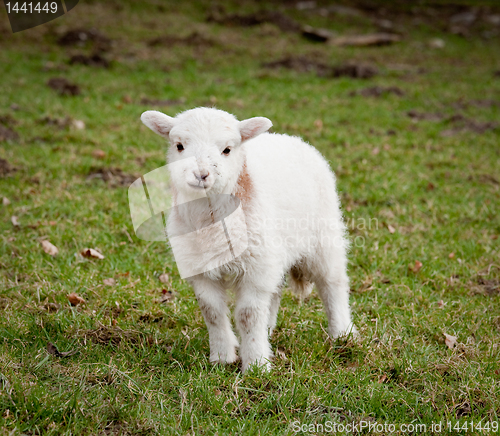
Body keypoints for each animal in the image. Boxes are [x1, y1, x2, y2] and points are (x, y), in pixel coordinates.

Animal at [141, 107, 356, 370]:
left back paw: (342, 333)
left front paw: (256, 365)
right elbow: (212, 311)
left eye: (227, 149)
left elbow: (247, 315)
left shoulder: (255, 269)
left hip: (323, 237)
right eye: (179, 146)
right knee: (275, 292)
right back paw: (269, 330)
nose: (201, 174)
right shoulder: (201, 269)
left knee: (332, 283)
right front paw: (222, 357)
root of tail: (289, 137)